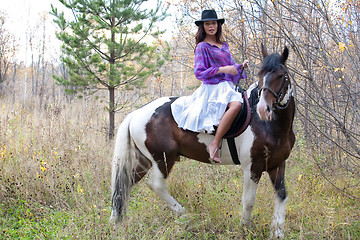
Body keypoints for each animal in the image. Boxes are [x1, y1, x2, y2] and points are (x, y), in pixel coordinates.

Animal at [110, 45, 296, 238]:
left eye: (281, 75)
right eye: (261, 74)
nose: (262, 109)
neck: (268, 125)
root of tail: (136, 113)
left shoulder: (277, 165)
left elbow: (282, 195)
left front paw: (278, 232)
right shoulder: (253, 167)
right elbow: (249, 200)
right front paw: (245, 229)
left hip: (145, 161)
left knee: (124, 185)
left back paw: (115, 223)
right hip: (163, 159)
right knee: (156, 185)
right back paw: (185, 215)